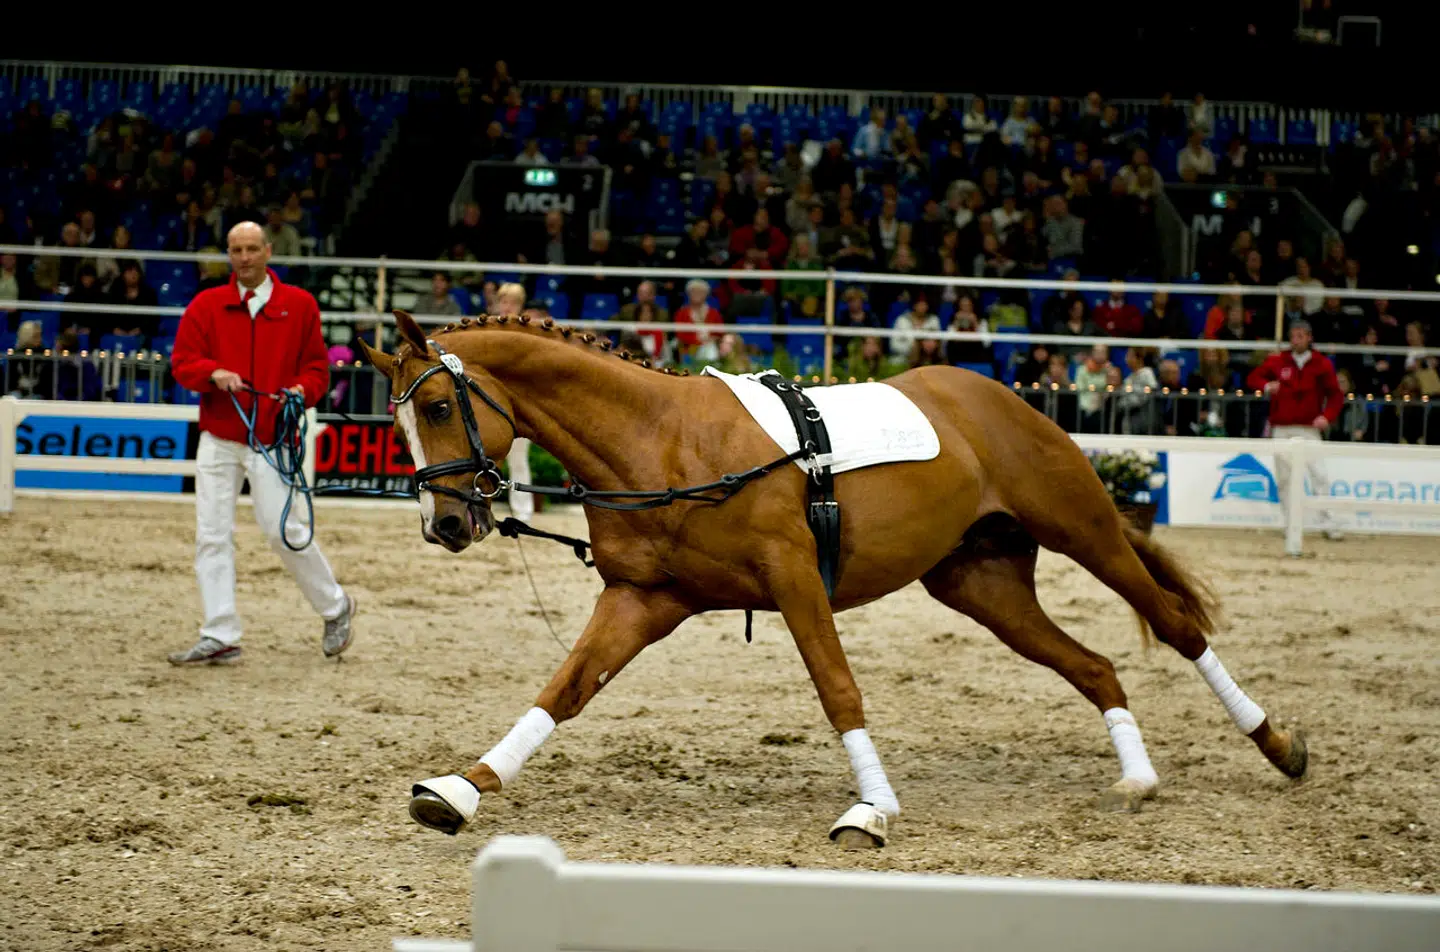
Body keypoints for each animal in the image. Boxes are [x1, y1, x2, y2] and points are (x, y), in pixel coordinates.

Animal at [357, 310, 1308, 849]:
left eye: (437, 407)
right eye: (397, 420)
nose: (446, 526)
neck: (663, 442)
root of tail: (998, 395)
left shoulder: (794, 584)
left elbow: (838, 688)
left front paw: (872, 810)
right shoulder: (643, 600)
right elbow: (563, 689)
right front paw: (459, 791)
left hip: (1089, 533)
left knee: (1178, 625)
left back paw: (1278, 744)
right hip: (982, 586)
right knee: (1095, 666)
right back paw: (1139, 776)